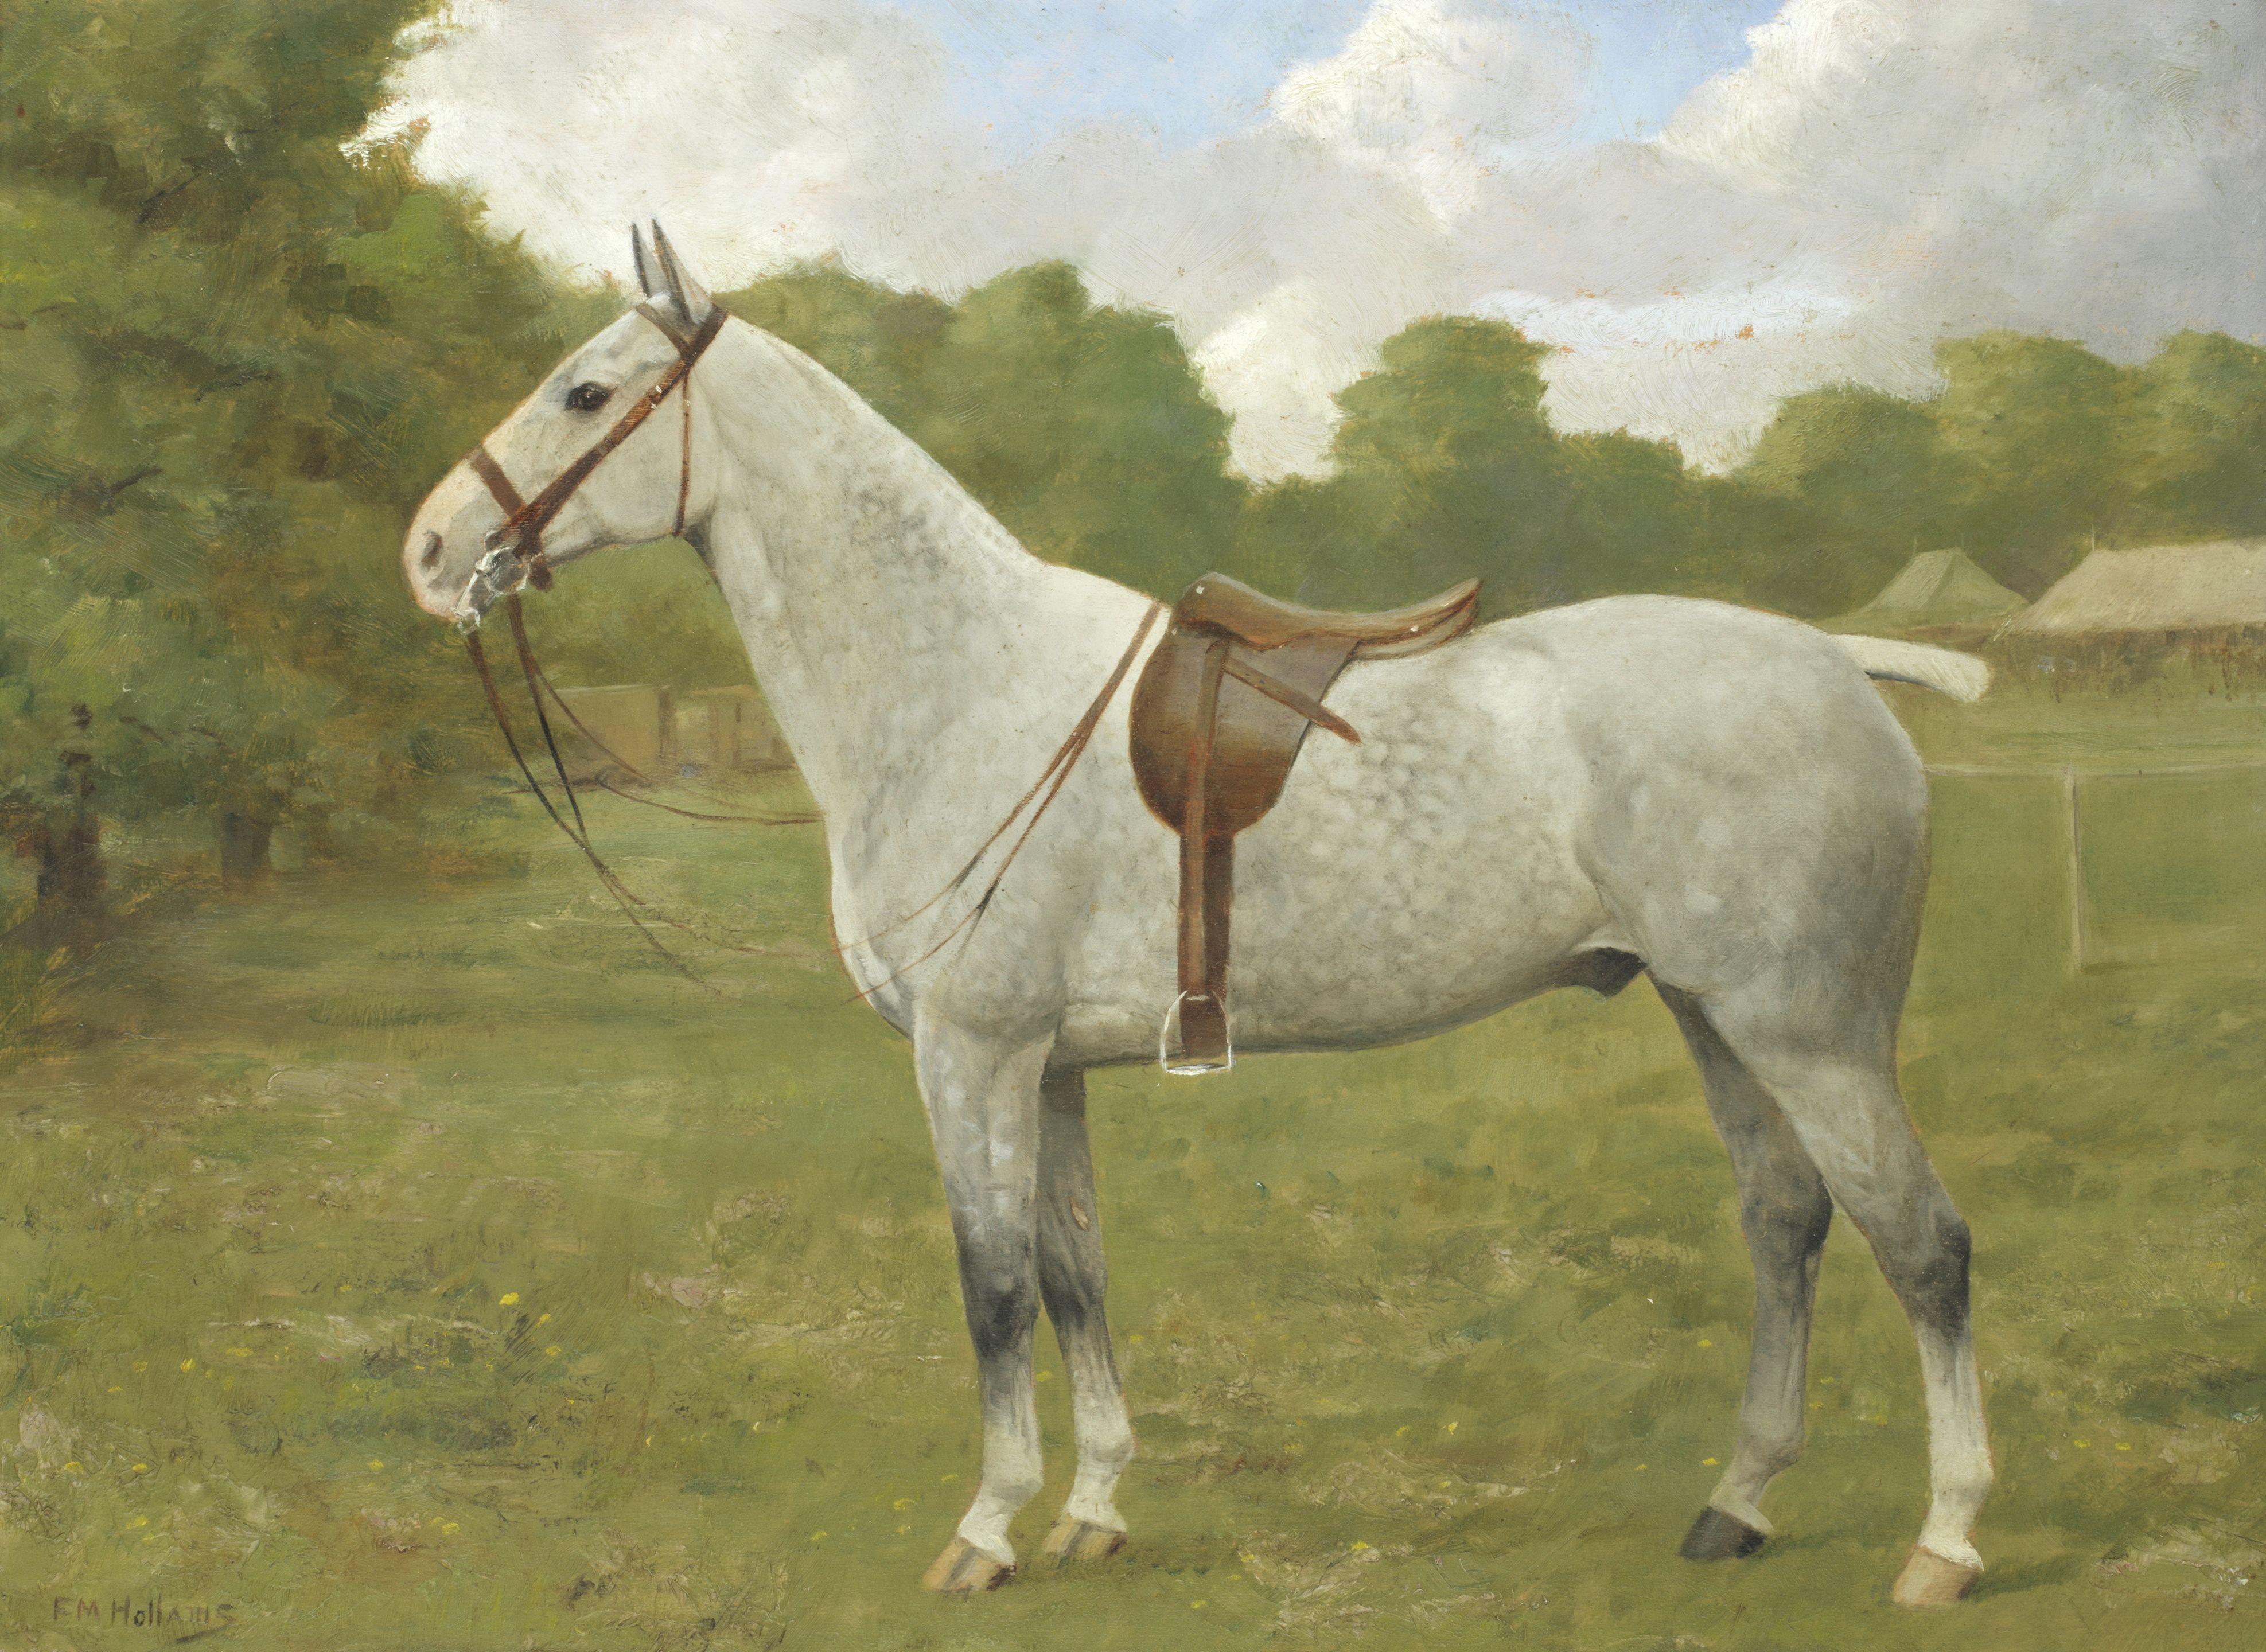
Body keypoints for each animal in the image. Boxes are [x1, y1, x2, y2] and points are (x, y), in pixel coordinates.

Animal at [402, 226, 1993, 1607]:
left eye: (585, 391)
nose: (429, 549)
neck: (961, 685)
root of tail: (1843, 662)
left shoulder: (970, 1055)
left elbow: (990, 1288)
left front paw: (985, 1530)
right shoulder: (1044, 1069)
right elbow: (1072, 1276)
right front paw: (1094, 1509)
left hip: (1811, 1034)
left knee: (1921, 1243)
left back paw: (1946, 1542)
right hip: (1712, 1016)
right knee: (1785, 1223)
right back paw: (1737, 1504)